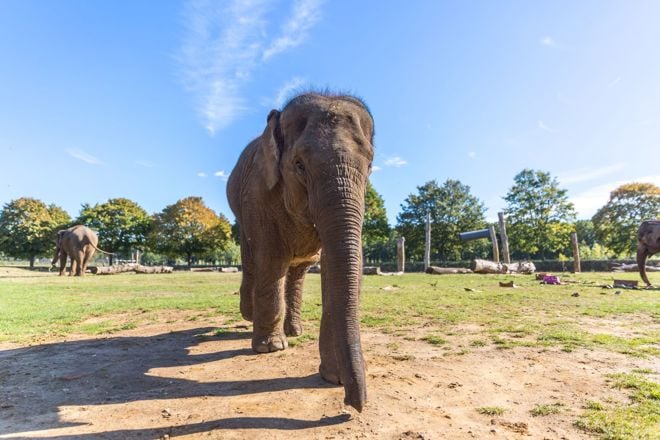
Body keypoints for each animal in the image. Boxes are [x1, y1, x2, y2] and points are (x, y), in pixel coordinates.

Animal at [227, 91, 374, 410]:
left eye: (369, 166)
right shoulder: (259, 193)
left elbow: (335, 268)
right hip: (241, 213)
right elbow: (271, 260)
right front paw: (270, 349)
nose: (352, 405)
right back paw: (252, 317)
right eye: (299, 165)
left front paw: (334, 378)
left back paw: (295, 331)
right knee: (254, 260)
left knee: (297, 273)